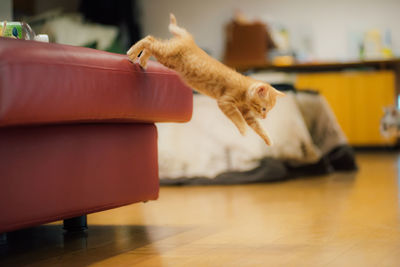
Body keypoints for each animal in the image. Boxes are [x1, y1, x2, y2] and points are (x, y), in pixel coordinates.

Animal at [128, 13, 284, 146]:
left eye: (268, 110)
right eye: (264, 109)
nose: (265, 117)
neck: (244, 89)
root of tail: (189, 40)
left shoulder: (246, 113)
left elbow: (257, 126)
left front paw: (268, 140)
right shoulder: (225, 102)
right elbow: (237, 117)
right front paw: (243, 129)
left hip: (166, 58)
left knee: (151, 44)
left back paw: (142, 60)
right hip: (166, 53)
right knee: (149, 39)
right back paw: (132, 53)